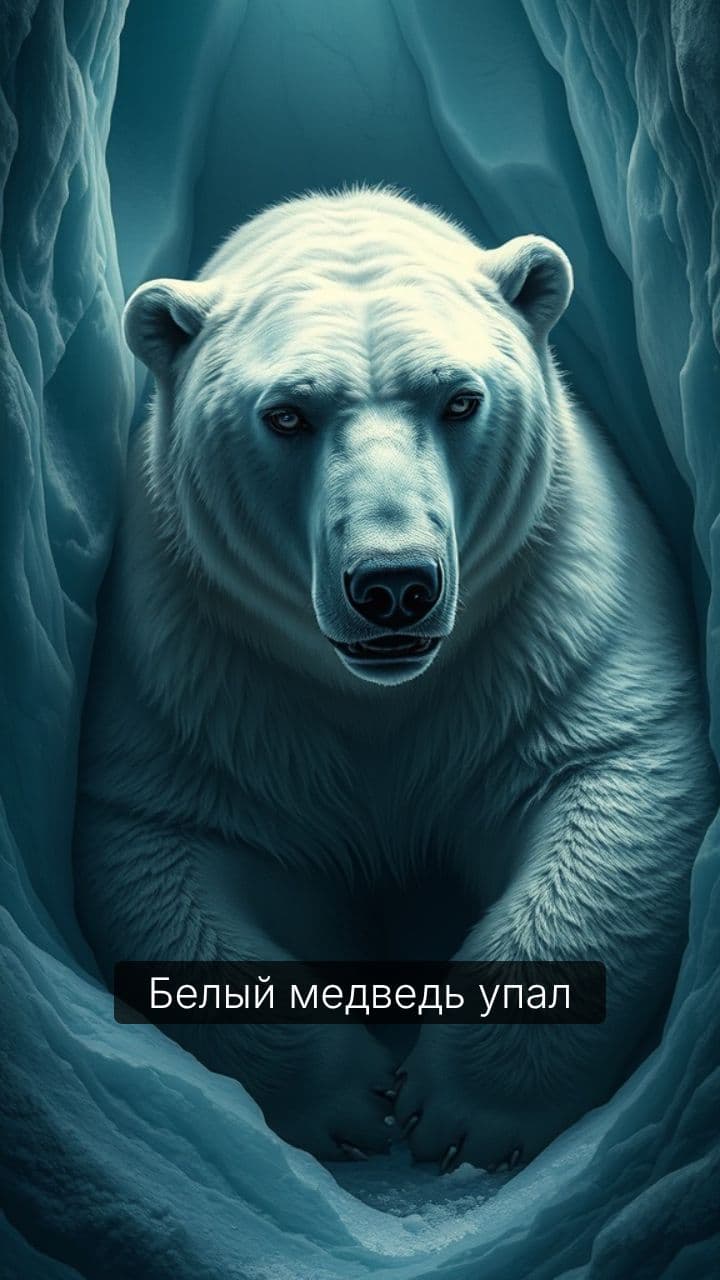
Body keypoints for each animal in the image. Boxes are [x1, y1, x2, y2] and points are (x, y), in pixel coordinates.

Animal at [73, 188, 717, 1170]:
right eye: (287, 414)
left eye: (460, 399)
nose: (393, 585)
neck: (380, 692)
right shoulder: (205, 677)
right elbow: (161, 852)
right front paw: (347, 1100)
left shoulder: (549, 625)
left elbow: (613, 784)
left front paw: (464, 1112)